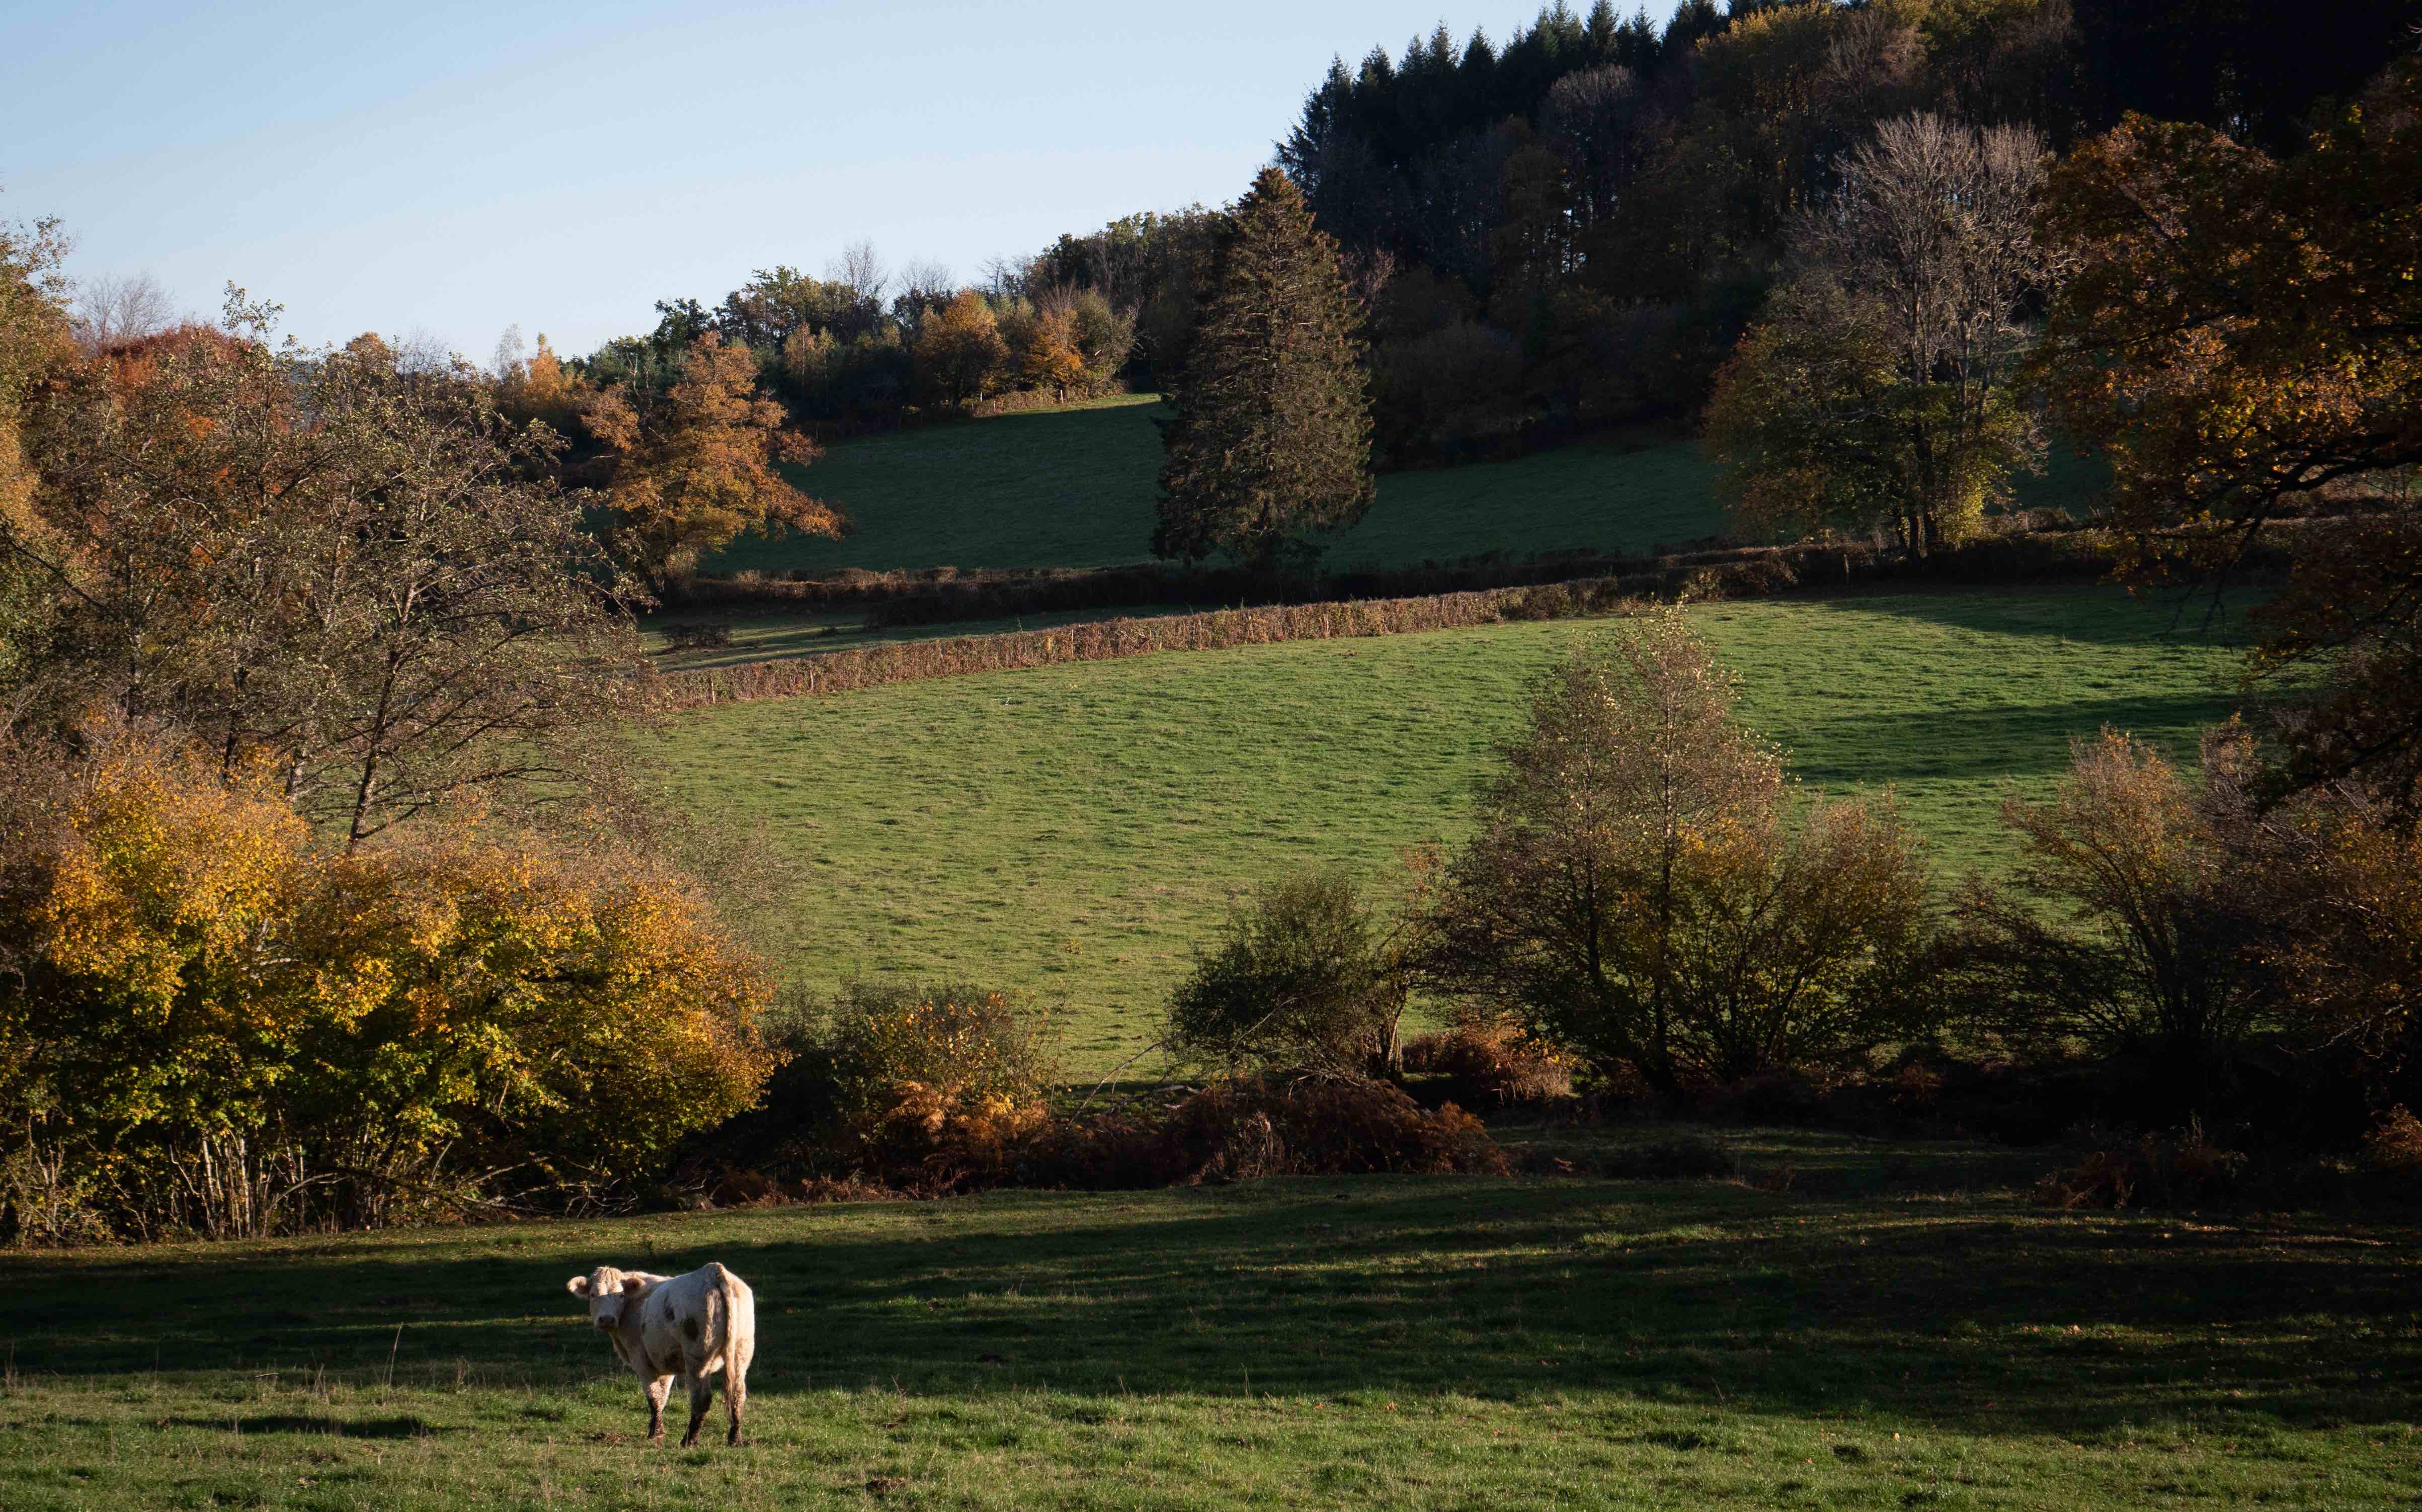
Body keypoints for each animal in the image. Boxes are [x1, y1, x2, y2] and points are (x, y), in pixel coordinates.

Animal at [567, 1260, 755, 1444]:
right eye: (593, 1295)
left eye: (620, 1295)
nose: (607, 1319)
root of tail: (714, 1271)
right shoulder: (664, 1358)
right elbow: (663, 1394)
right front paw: (657, 1430)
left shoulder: (641, 1358)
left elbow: (654, 1396)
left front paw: (655, 1432)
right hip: (741, 1353)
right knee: (738, 1394)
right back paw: (735, 1438)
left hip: (698, 1358)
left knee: (702, 1398)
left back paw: (689, 1440)